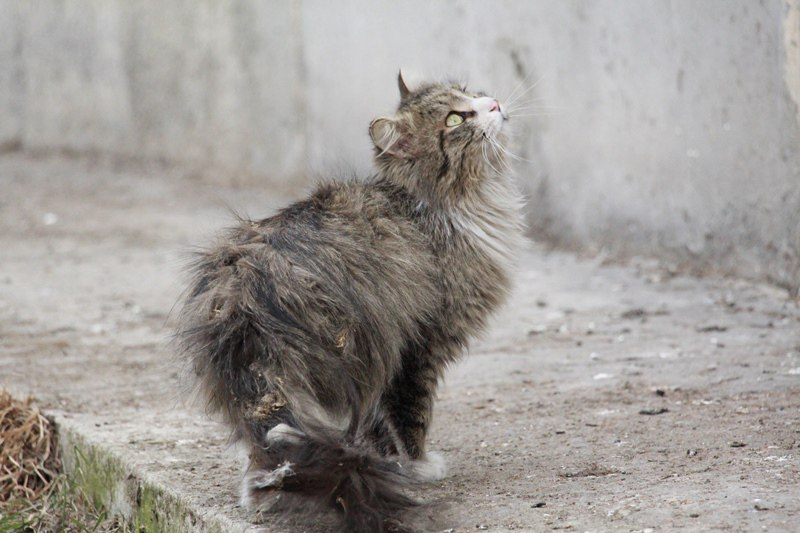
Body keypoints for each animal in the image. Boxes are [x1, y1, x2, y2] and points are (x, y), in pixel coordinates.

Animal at [176, 72, 524, 532]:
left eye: (470, 92)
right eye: (454, 119)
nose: (494, 103)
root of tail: (243, 298)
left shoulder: (388, 358)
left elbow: (379, 424)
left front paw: (388, 460)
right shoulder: (418, 346)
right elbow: (410, 415)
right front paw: (419, 466)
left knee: (264, 445)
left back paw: (261, 494)